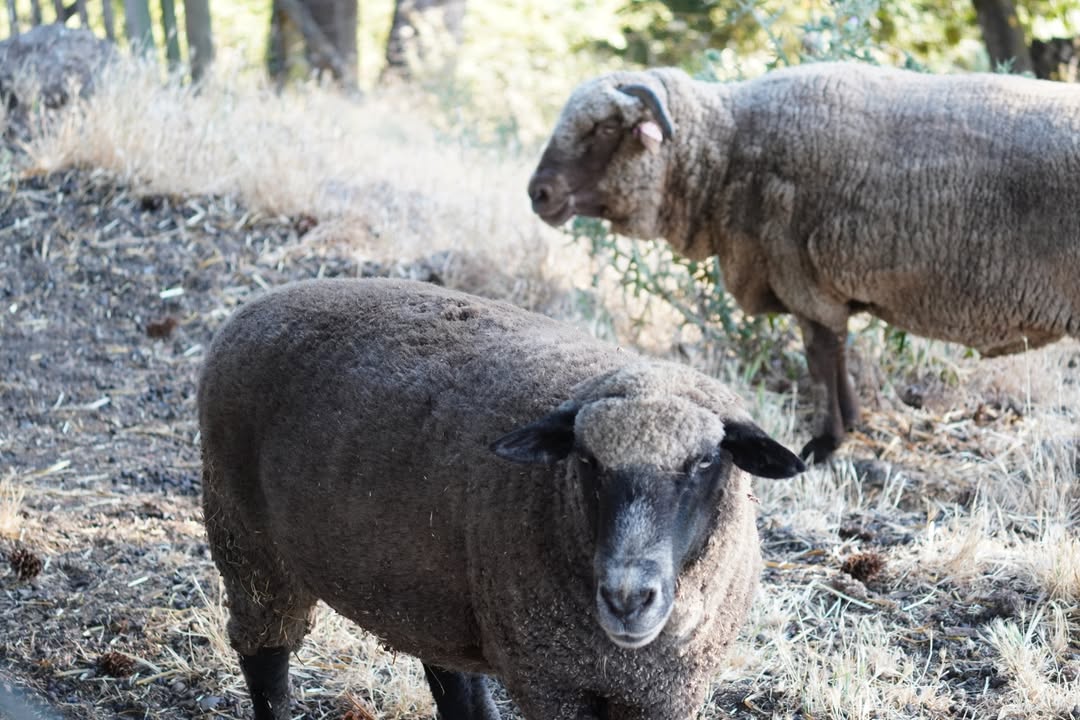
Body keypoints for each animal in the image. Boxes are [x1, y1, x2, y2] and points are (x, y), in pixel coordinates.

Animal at [198, 277, 805, 720]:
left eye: (704, 461)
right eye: (586, 460)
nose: (627, 597)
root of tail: (255, 306)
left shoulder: (667, 692)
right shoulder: (551, 682)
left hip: (432, 590)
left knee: (455, 685)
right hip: (246, 541)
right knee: (264, 656)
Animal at [528, 62, 1080, 462]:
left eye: (604, 128)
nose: (539, 193)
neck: (727, 153)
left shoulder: (800, 276)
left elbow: (820, 358)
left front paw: (825, 443)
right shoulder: (817, 285)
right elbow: (837, 356)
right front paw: (851, 424)